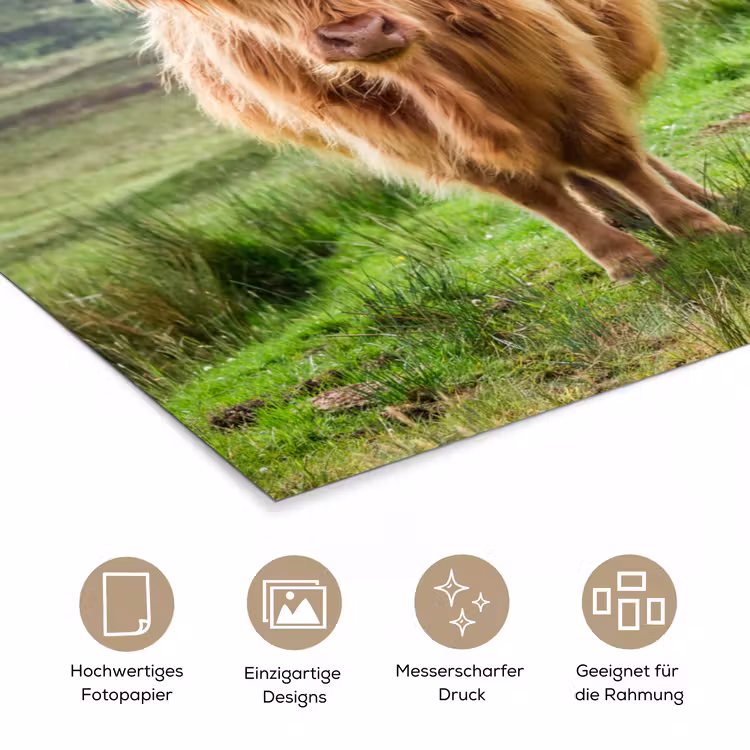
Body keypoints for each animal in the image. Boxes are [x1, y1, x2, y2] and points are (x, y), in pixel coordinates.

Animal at [96, 1, 740, 280]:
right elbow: (533, 190)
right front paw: (625, 259)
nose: (359, 34)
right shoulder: (405, 130)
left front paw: (699, 227)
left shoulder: (542, 56)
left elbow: (605, 149)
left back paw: (699, 197)